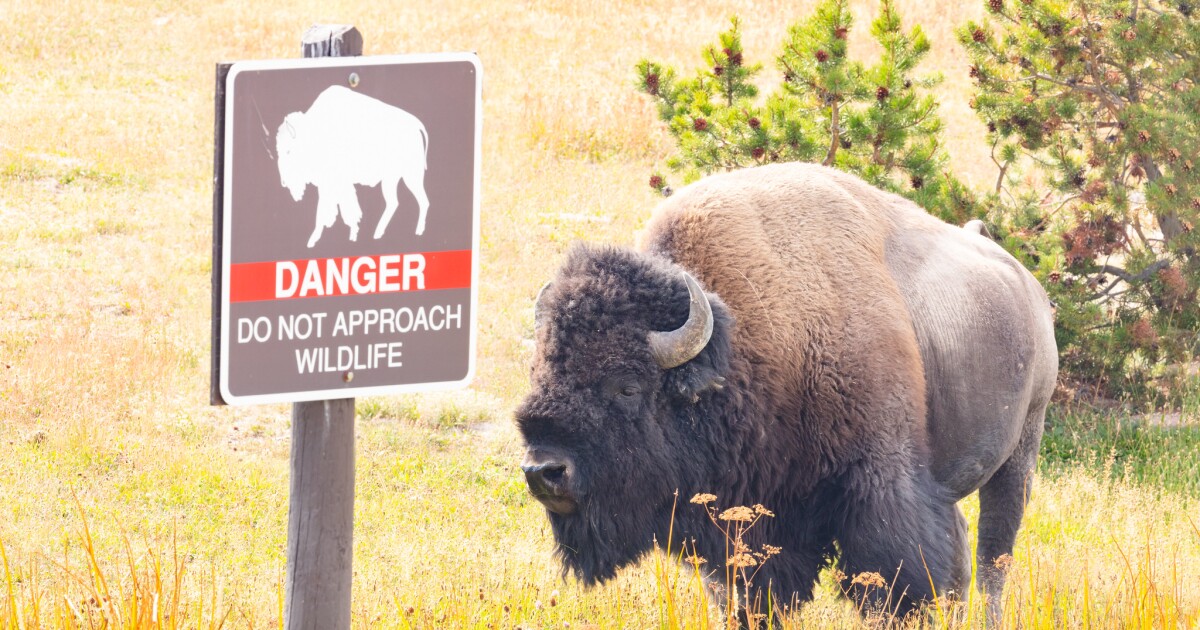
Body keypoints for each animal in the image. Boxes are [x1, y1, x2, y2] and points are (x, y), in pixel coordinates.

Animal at [276, 84, 432, 247]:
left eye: (288, 151)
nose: (284, 182)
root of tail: (416, 126)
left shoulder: (333, 184)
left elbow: (328, 211)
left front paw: (313, 240)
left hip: (411, 177)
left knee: (421, 201)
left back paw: (416, 231)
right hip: (392, 179)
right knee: (396, 202)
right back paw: (378, 233)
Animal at [516, 162, 1060, 619]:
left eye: (628, 386)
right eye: (539, 371)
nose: (544, 471)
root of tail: (1029, 288)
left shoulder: (879, 486)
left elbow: (896, 581)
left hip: (1021, 452)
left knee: (993, 559)